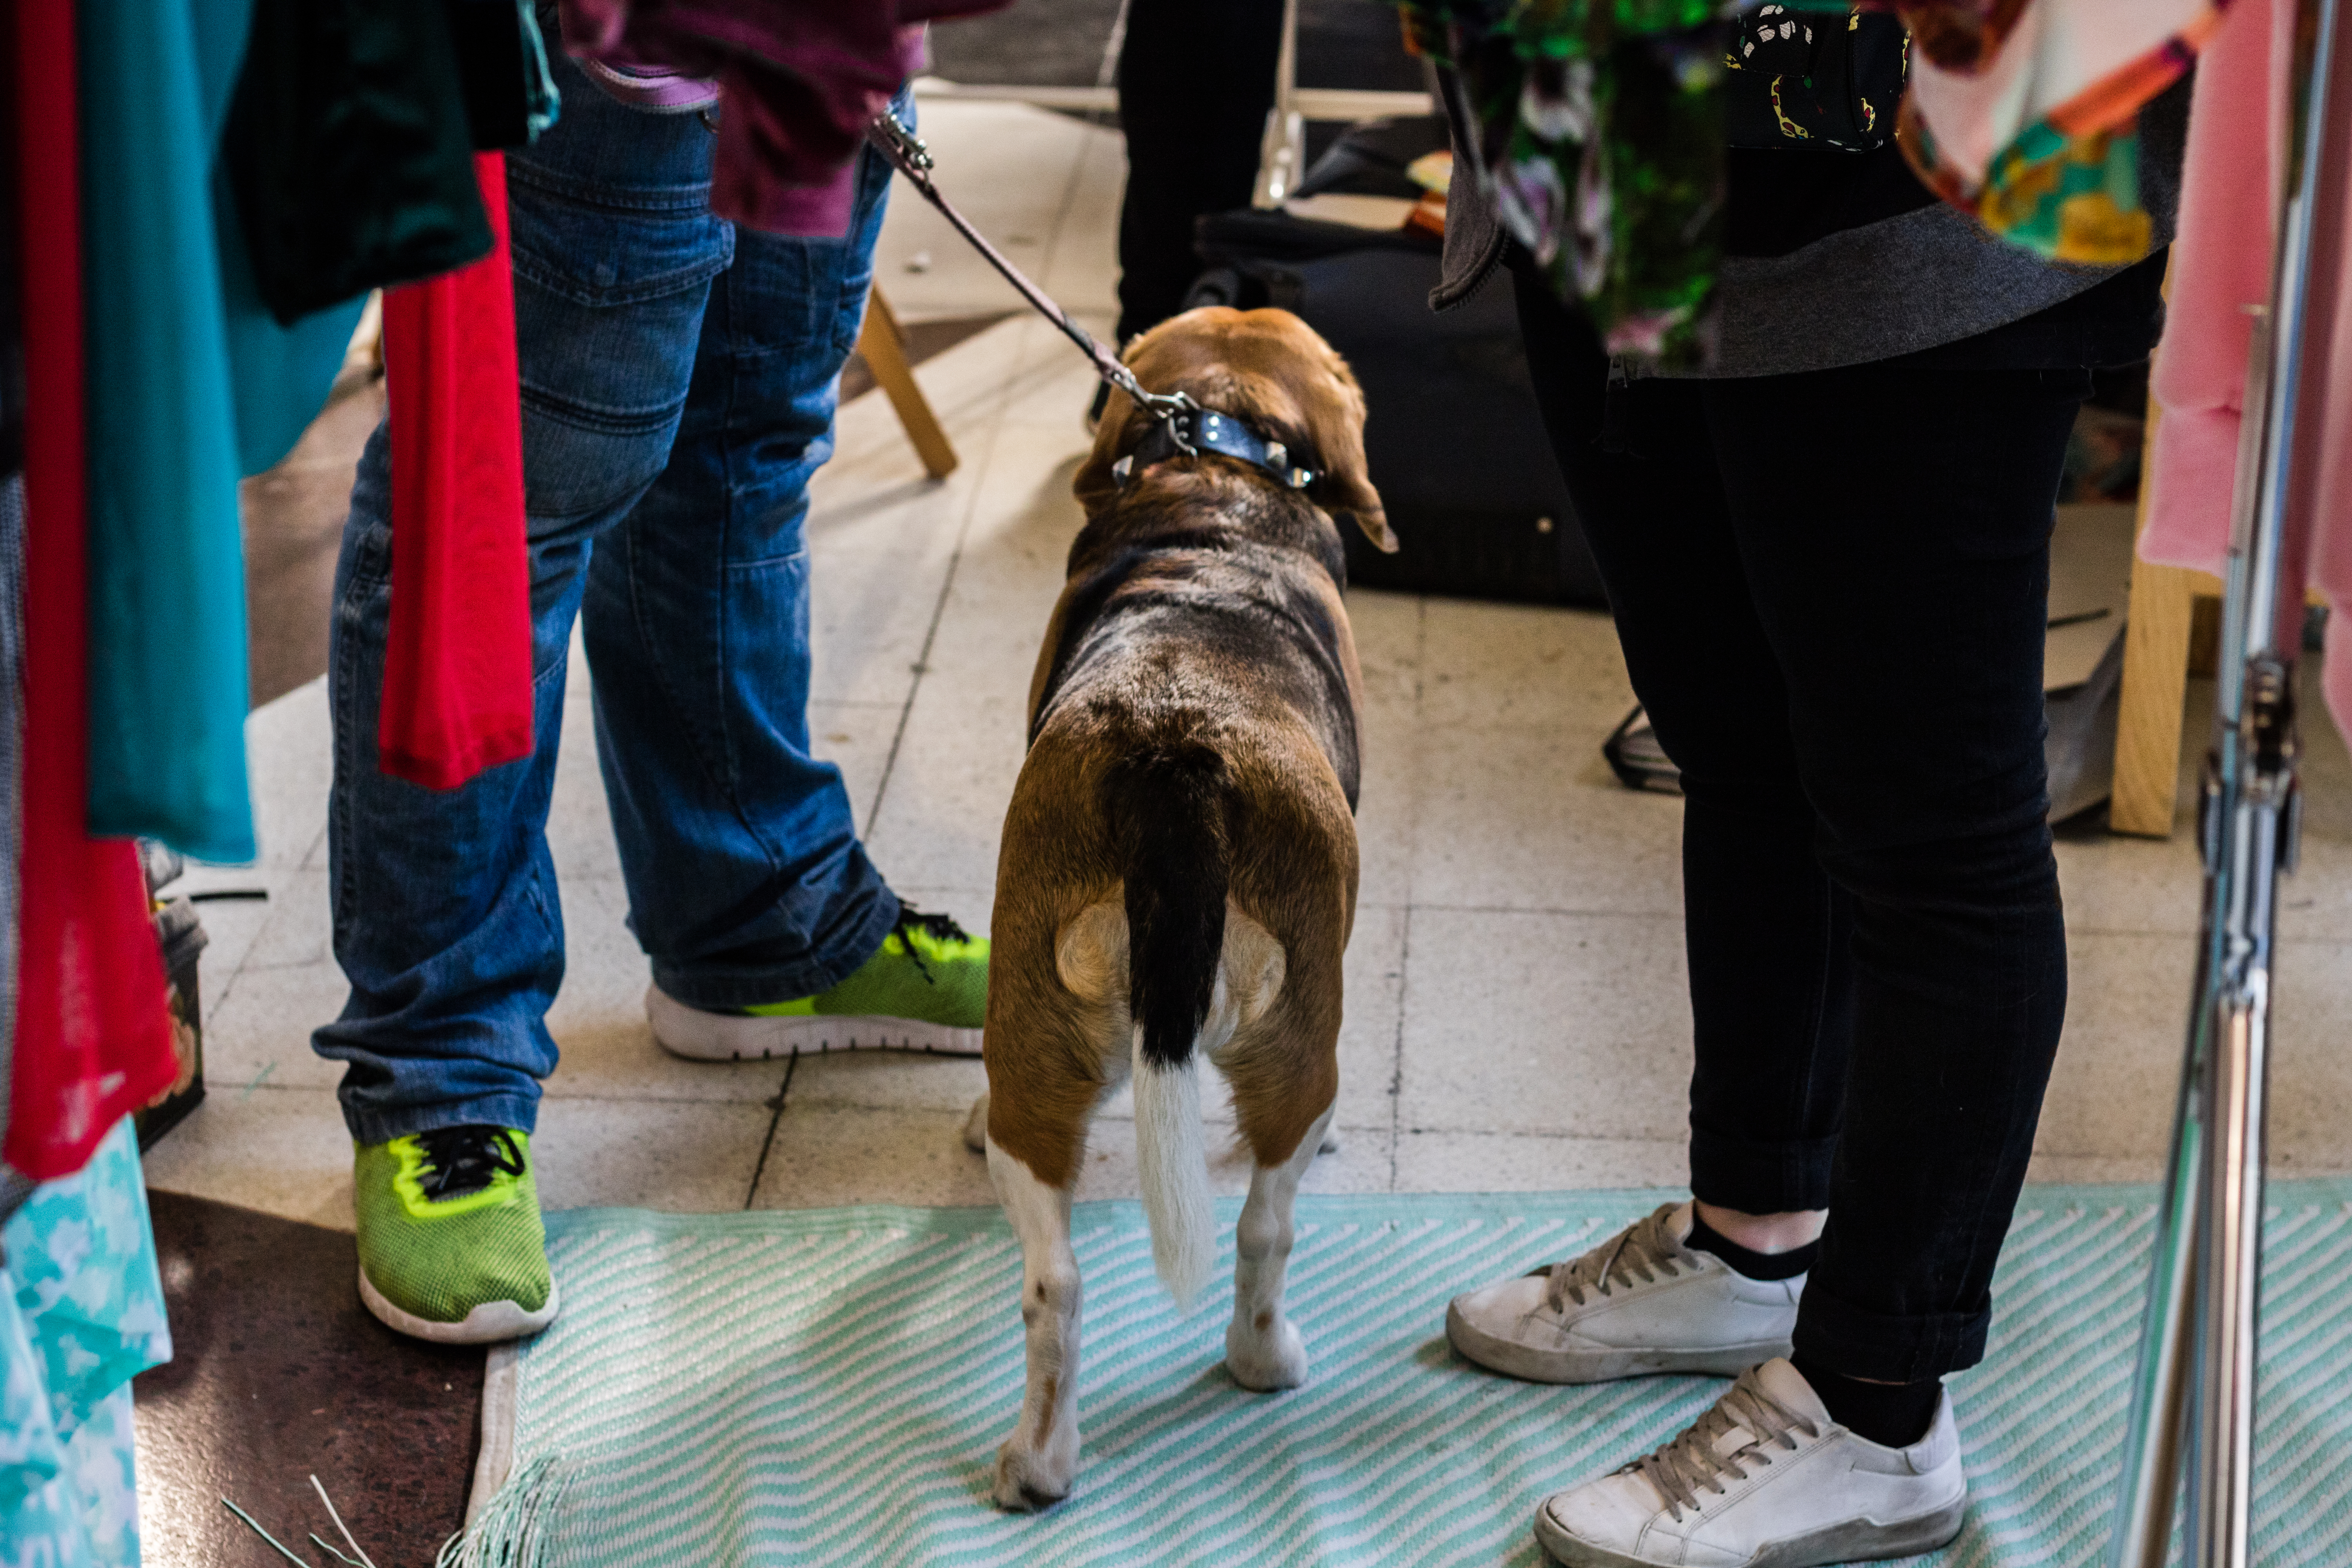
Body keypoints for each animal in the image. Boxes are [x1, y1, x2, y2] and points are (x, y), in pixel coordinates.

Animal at [964, 305, 1383, 1504]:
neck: (1216, 468)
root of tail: (1177, 749)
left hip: (1035, 1045)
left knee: (1055, 1281)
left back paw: (1040, 1463)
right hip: (1298, 1051)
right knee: (1264, 1228)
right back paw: (1263, 1358)